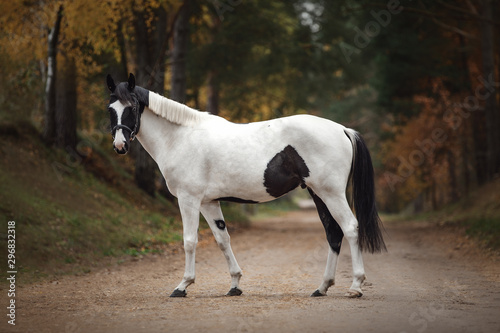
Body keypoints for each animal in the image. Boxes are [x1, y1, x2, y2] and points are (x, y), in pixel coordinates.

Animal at [106, 74, 386, 296]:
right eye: (110, 109)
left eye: (132, 106)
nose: (120, 145)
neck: (181, 137)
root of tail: (343, 130)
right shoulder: (209, 202)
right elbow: (222, 239)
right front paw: (235, 285)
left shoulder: (189, 199)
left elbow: (189, 240)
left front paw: (183, 286)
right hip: (319, 194)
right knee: (333, 234)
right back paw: (322, 287)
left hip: (331, 194)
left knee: (350, 228)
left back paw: (355, 286)